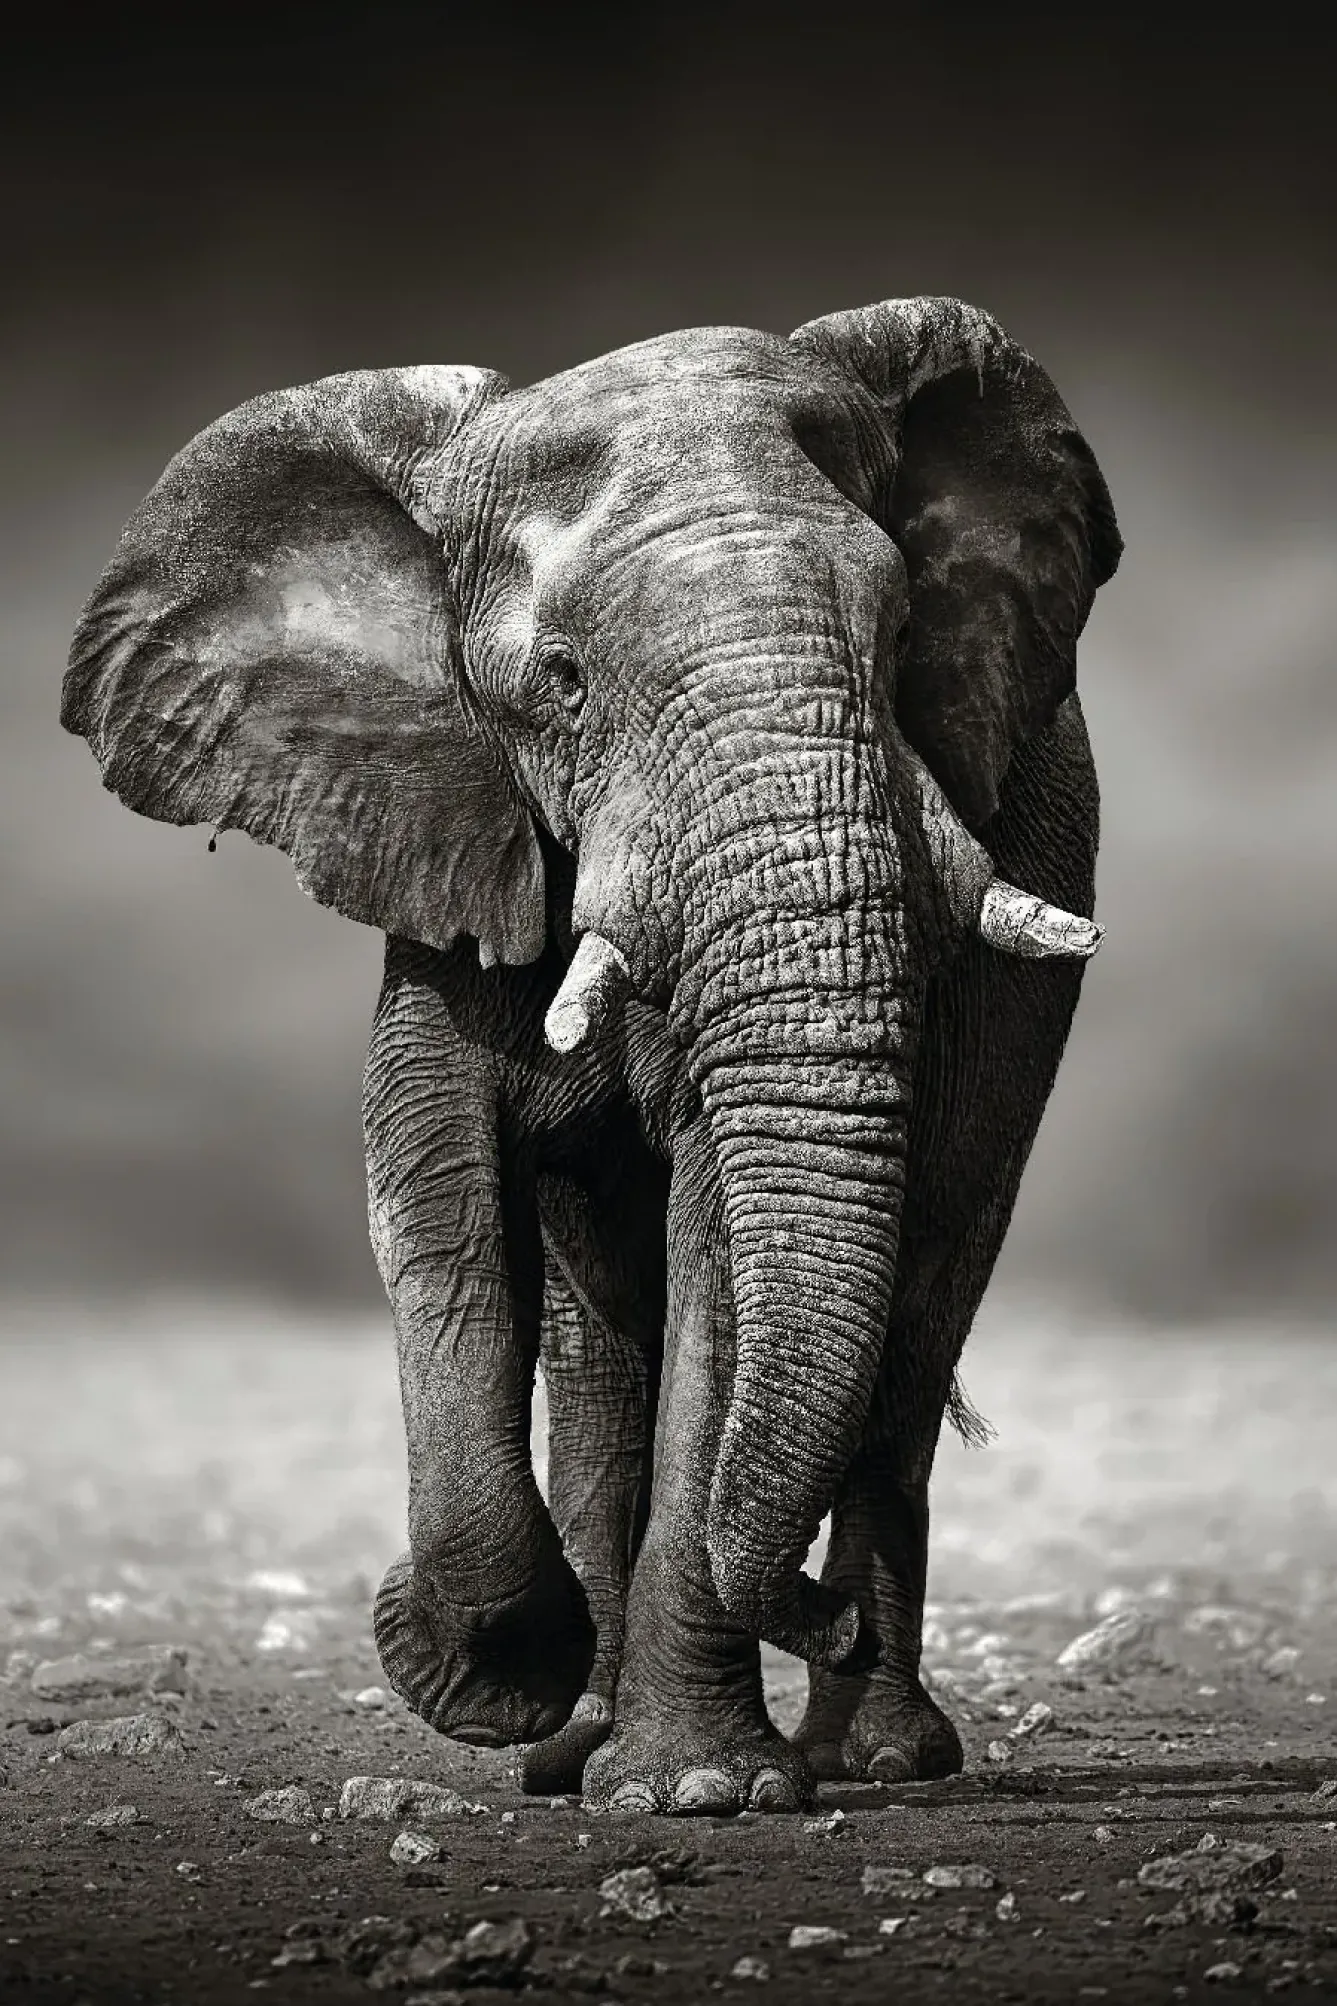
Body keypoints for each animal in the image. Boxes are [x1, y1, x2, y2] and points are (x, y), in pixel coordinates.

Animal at [62, 296, 1120, 1815]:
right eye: (557, 685)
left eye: (902, 631)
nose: (814, 1614)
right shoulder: (448, 828)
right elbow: (436, 1200)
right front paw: (492, 1676)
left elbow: (719, 1248)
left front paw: (699, 1790)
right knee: (601, 1347)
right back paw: (580, 1744)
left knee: (917, 1307)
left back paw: (870, 1754)